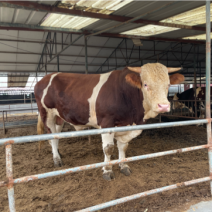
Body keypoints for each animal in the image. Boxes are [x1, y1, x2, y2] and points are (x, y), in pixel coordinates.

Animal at [34, 62, 183, 181]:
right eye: (145, 84)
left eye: (168, 84)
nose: (163, 106)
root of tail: (44, 78)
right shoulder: (106, 123)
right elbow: (108, 149)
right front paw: (107, 171)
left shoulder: (126, 127)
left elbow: (123, 147)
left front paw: (124, 166)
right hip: (46, 113)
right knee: (51, 137)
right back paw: (57, 160)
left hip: (59, 117)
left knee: (56, 136)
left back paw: (58, 154)